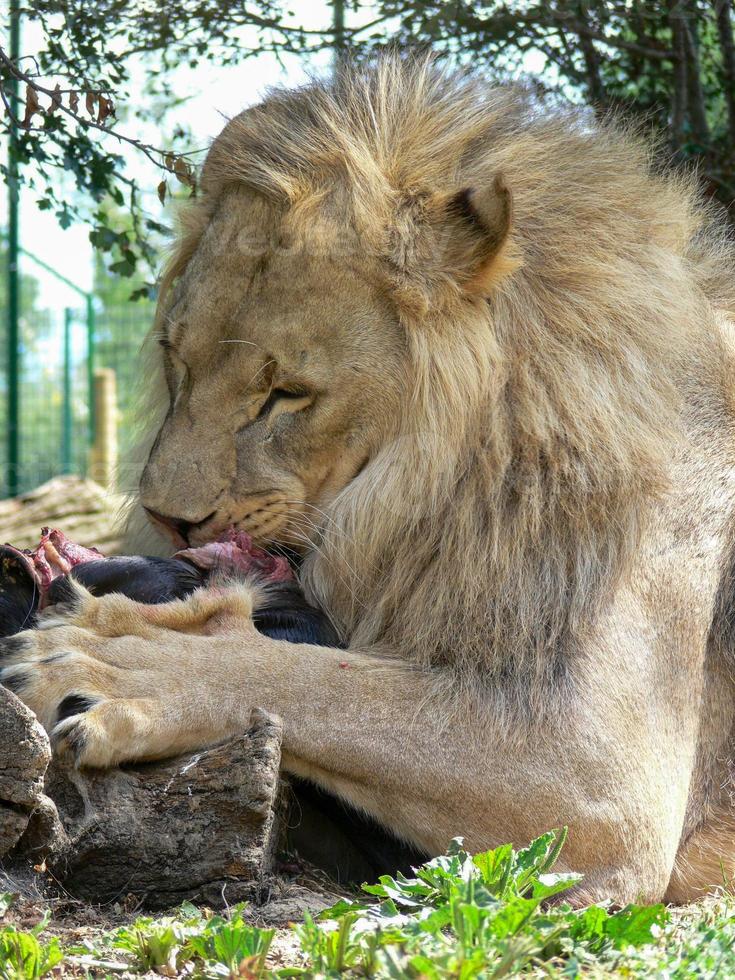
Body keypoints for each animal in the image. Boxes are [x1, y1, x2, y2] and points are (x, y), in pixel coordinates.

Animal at [1, 55, 735, 904]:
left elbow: (318, 681)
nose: (171, 519)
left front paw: (110, 660)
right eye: (174, 358)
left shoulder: (599, 775)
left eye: (287, 393)